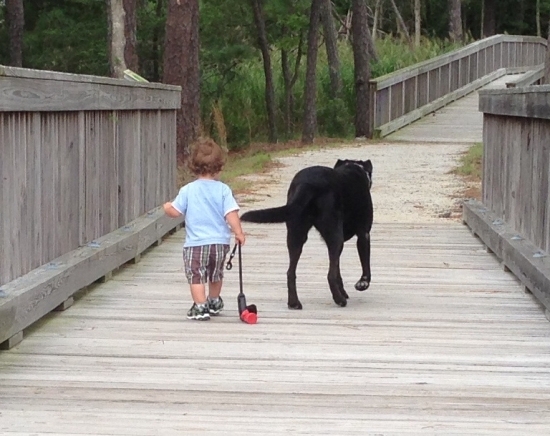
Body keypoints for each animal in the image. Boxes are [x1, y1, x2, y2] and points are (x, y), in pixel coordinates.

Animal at [242, 158, 376, 308]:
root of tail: (308, 184)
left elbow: (338, 270)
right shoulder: (364, 234)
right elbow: (364, 265)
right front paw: (363, 283)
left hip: (296, 234)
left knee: (290, 272)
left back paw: (294, 302)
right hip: (335, 236)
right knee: (330, 275)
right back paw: (339, 300)